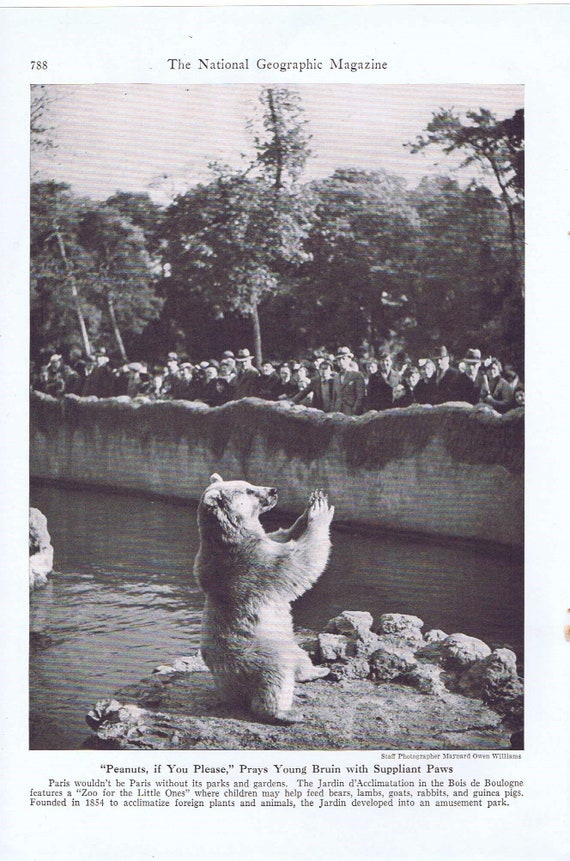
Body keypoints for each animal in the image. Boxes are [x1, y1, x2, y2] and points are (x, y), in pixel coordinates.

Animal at [194, 474, 332, 724]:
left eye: (250, 483)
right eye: (248, 490)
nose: (273, 490)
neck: (229, 539)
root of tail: (231, 691)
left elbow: (282, 535)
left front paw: (308, 509)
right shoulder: (258, 564)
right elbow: (301, 561)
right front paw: (319, 511)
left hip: (285, 644)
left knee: (300, 657)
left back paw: (320, 670)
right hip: (262, 653)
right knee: (275, 681)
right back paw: (286, 713)